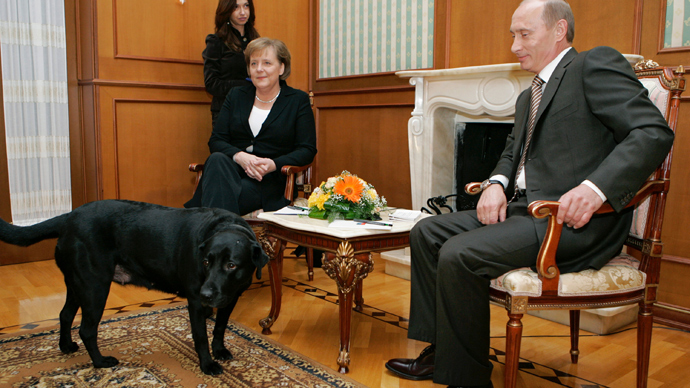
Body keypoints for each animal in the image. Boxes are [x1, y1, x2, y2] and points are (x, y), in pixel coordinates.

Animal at [0, 199, 266, 374]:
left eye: (231, 265)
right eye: (206, 262)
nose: (207, 293)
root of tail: (69, 216)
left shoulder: (231, 297)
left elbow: (220, 326)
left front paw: (219, 350)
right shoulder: (195, 302)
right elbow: (200, 335)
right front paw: (208, 364)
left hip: (76, 284)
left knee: (64, 315)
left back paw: (65, 346)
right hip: (94, 286)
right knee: (87, 329)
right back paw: (100, 362)